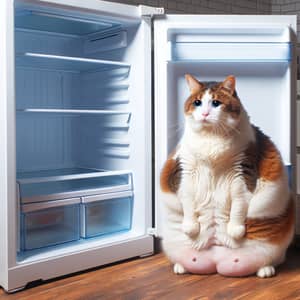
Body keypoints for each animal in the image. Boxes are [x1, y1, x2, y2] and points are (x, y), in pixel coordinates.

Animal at [161, 74, 294, 278]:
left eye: (216, 103)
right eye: (197, 102)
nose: (205, 114)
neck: (211, 139)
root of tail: (216, 263)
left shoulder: (242, 174)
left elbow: (239, 205)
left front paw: (235, 230)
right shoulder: (185, 173)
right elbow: (188, 202)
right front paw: (191, 227)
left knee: (273, 260)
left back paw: (265, 270)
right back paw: (180, 267)